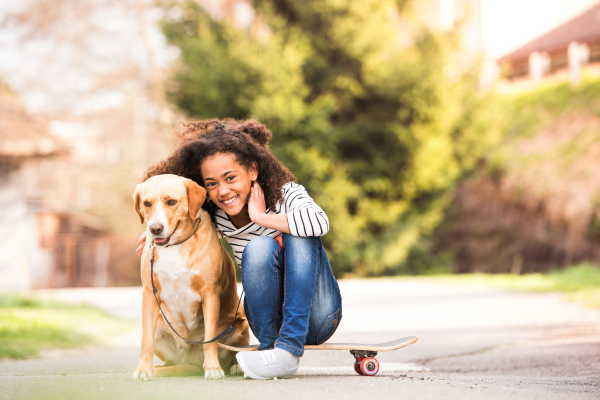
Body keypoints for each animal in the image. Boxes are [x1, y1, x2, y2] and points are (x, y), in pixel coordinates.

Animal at [133, 175, 248, 382]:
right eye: (146, 203)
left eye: (171, 202)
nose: (155, 229)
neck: (174, 245)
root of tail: (192, 362)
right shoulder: (149, 293)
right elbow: (145, 342)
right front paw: (143, 370)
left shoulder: (209, 294)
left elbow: (210, 339)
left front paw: (213, 368)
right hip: (160, 330)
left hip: (240, 325)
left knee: (233, 355)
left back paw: (235, 366)